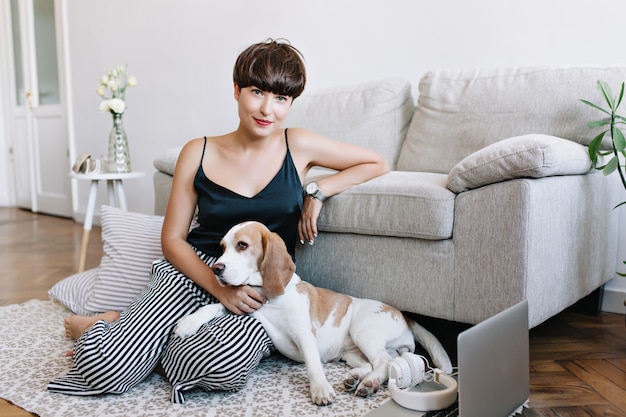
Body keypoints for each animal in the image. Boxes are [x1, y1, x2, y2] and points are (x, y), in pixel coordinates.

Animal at [173, 221, 450, 404]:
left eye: (242, 245)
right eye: (222, 247)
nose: (216, 269)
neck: (269, 299)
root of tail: (405, 315)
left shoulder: (303, 334)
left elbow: (313, 364)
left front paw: (319, 389)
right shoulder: (246, 306)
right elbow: (215, 305)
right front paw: (189, 323)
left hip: (363, 330)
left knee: (383, 361)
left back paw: (368, 383)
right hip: (352, 353)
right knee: (379, 361)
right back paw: (355, 377)